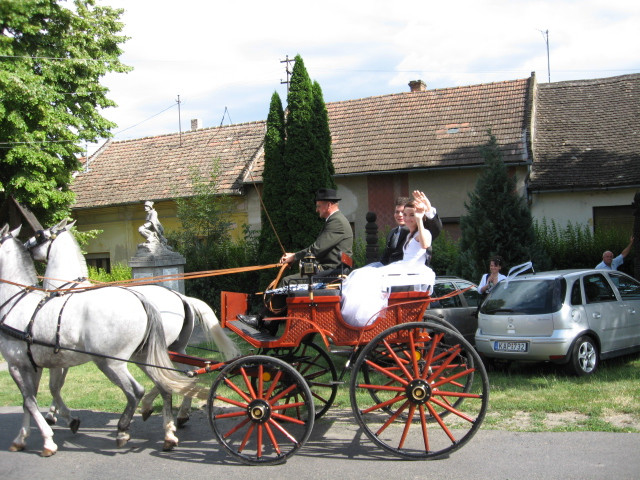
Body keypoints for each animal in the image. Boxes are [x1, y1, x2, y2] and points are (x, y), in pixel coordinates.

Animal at [0, 223, 199, 456]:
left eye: (40, 235)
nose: (26, 245)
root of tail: (178, 296)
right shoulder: (38, 363)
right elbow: (36, 396)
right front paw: (45, 425)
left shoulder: (21, 364)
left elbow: (36, 397)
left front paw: (51, 430)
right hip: (156, 354)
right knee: (178, 380)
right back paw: (171, 427)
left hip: (111, 361)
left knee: (141, 389)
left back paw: (127, 427)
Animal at [24, 219, 240, 430]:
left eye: (39, 235)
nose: (25, 246)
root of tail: (181, 296)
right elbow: (55, 384)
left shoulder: (59, 350)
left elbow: (56, 385)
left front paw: (54, 414)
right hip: (175, 348)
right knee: (187, 376)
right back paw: (179, 414)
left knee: (170, 376)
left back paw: (151, 406)